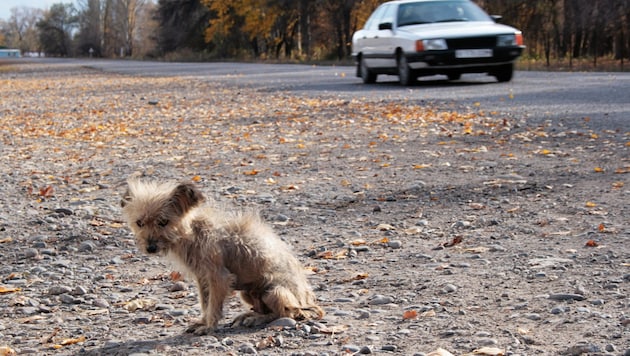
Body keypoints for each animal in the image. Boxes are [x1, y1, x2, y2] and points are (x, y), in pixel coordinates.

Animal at [121, 179, 326, 336]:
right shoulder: (203, 279)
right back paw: (249, 315)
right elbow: (205, 303)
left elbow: (213, 305)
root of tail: (307, 301)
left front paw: (209, 327)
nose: (150, 248)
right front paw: (203, 321)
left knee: (287, 313)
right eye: (139, 223)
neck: (193, 232)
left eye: (163, 222)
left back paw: (258, 319)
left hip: (273, 291)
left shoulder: (218, 277)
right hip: (248, 293)